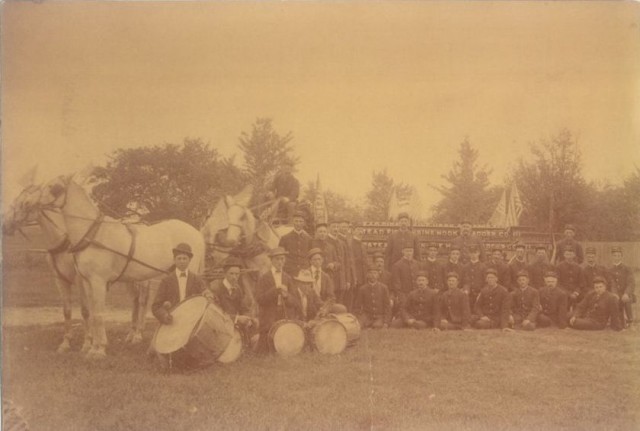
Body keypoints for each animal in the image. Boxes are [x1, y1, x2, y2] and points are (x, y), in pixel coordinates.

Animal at [36, 174, 205, 360]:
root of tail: (197, 233)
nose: (34, 203)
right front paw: (92, 347)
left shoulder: (98, 281)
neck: (93, 234)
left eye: (55, 187)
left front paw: (100, 349)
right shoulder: (87, 282)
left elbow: (99, 315)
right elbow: (92, 313)